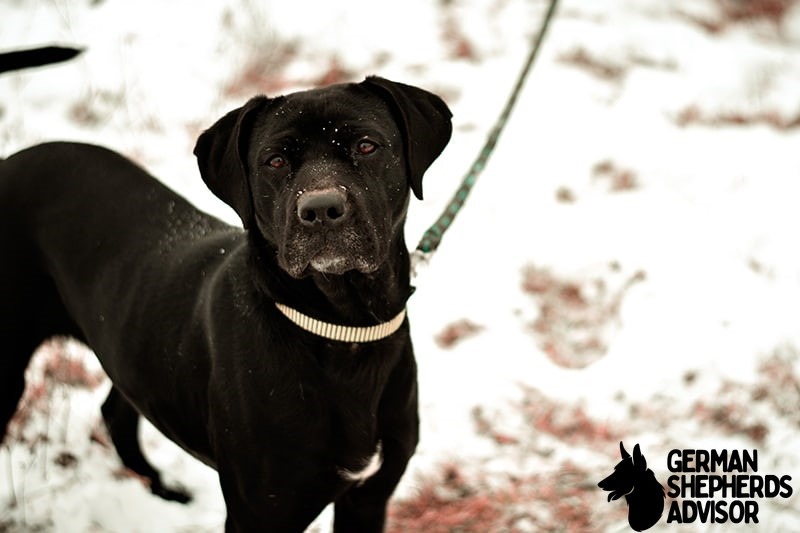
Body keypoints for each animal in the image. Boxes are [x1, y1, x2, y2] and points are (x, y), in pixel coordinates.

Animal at [0, 76, 450, 532]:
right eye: (274, 161)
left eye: (366, 145)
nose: (321, 209)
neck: (344, 331)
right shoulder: (259, 514)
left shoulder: (369, 497)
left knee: (115, 411)